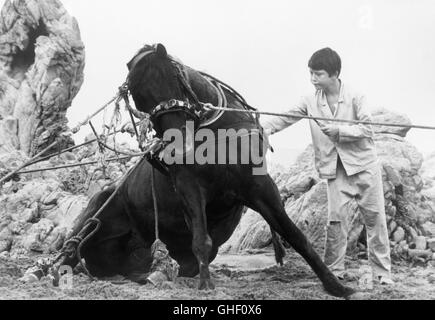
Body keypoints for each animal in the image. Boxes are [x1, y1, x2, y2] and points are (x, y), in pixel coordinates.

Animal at [63, 43, 356, 298]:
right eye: (140, 100)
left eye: (169, 77)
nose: (178, 145)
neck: (216, 134)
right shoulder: (190, 186)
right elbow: (201, 240)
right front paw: (206, 285)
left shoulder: (258, 185)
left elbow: (294, 234)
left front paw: (334, 284)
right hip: (97, 208)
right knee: (70, 248)